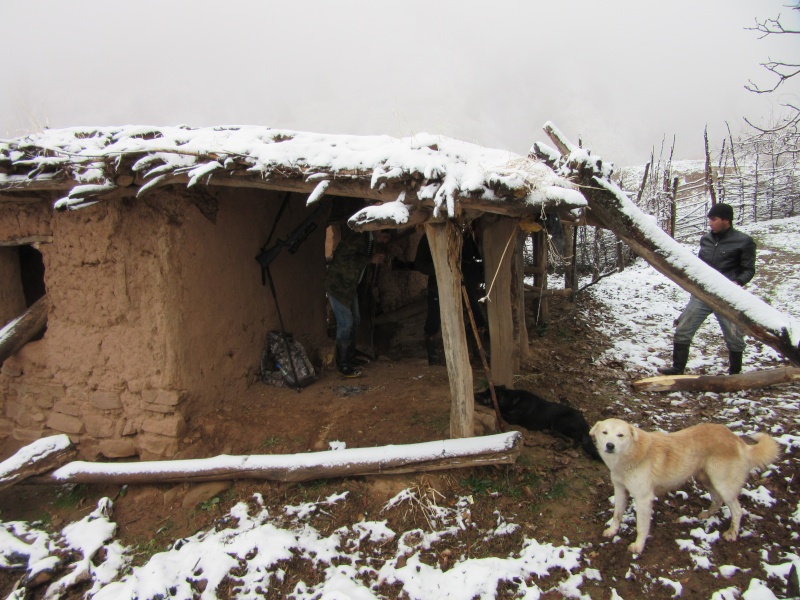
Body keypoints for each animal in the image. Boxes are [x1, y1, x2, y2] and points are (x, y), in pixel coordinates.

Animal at [592, 418, 780, 552]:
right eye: (605, 432)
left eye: (620, 435)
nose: (610, 445)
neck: (630, 454)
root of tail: (735, 438)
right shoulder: (620, 490)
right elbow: (617, 514)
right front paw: (612, 531)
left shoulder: (644, 499)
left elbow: (641, 527)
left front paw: (638, 546)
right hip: (706, 479)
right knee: (717, 500)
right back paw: (706, 515)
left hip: (723, 485)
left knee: (738, 510)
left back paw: (732, 533)